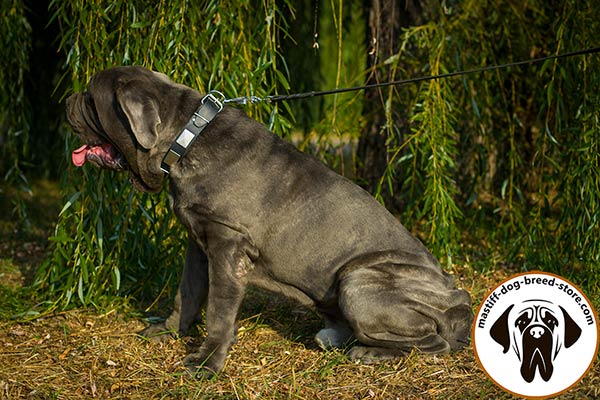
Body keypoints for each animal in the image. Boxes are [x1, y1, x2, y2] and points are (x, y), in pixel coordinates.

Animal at [67, 66, 474, 378]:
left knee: (432, 342)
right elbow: (188, 293)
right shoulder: (197, 243)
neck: (184, 139)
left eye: (90, 99)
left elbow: (218, 310)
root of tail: (459, 301)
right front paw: (168, 332)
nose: (68, 99)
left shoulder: (227, 245)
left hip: (358, 283)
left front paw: (206, 363)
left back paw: (369, 353)